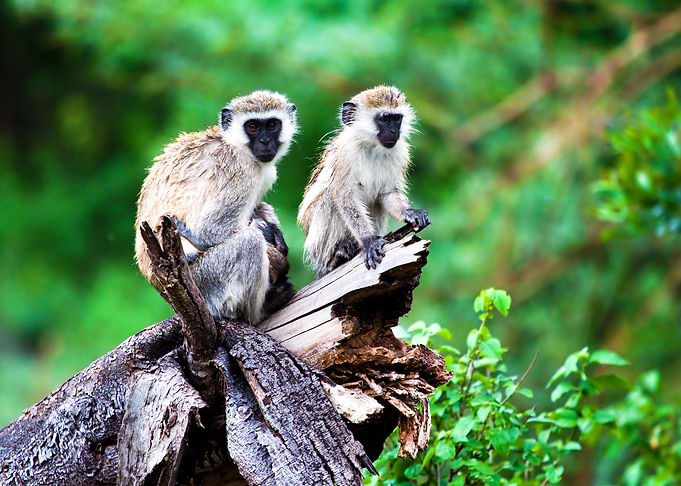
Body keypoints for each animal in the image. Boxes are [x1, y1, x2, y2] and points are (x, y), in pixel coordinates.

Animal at [135, 90, 298, 323]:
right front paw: (266, 236)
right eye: (252, 127)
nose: (265, 141)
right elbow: (211, 230)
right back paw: (259, 312)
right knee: (249, 242)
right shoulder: (242, 174)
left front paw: (274, 234)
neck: (235, 145)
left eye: (272, 125)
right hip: (206, 282)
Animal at [297, 85, 430, 278]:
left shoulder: (399, 152)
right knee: (329, 197)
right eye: (384, 119)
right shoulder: (345, 154)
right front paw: (368, 241)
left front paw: (410, 212)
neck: (372, 147)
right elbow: (344, 197)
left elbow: (387, 194)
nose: (394, 132)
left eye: (396, 118)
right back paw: (337, 255)